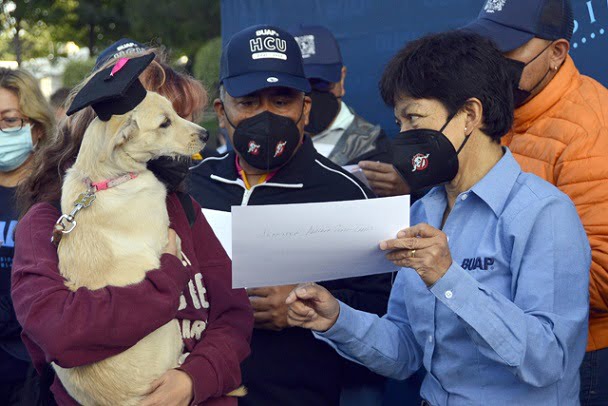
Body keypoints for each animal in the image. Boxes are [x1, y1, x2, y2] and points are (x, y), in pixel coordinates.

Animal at [54, 92, 207, 406]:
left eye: (174, 111)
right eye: (164, 123)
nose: (207, 134)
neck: (103, 181)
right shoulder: (163, 232)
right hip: (169, 329)